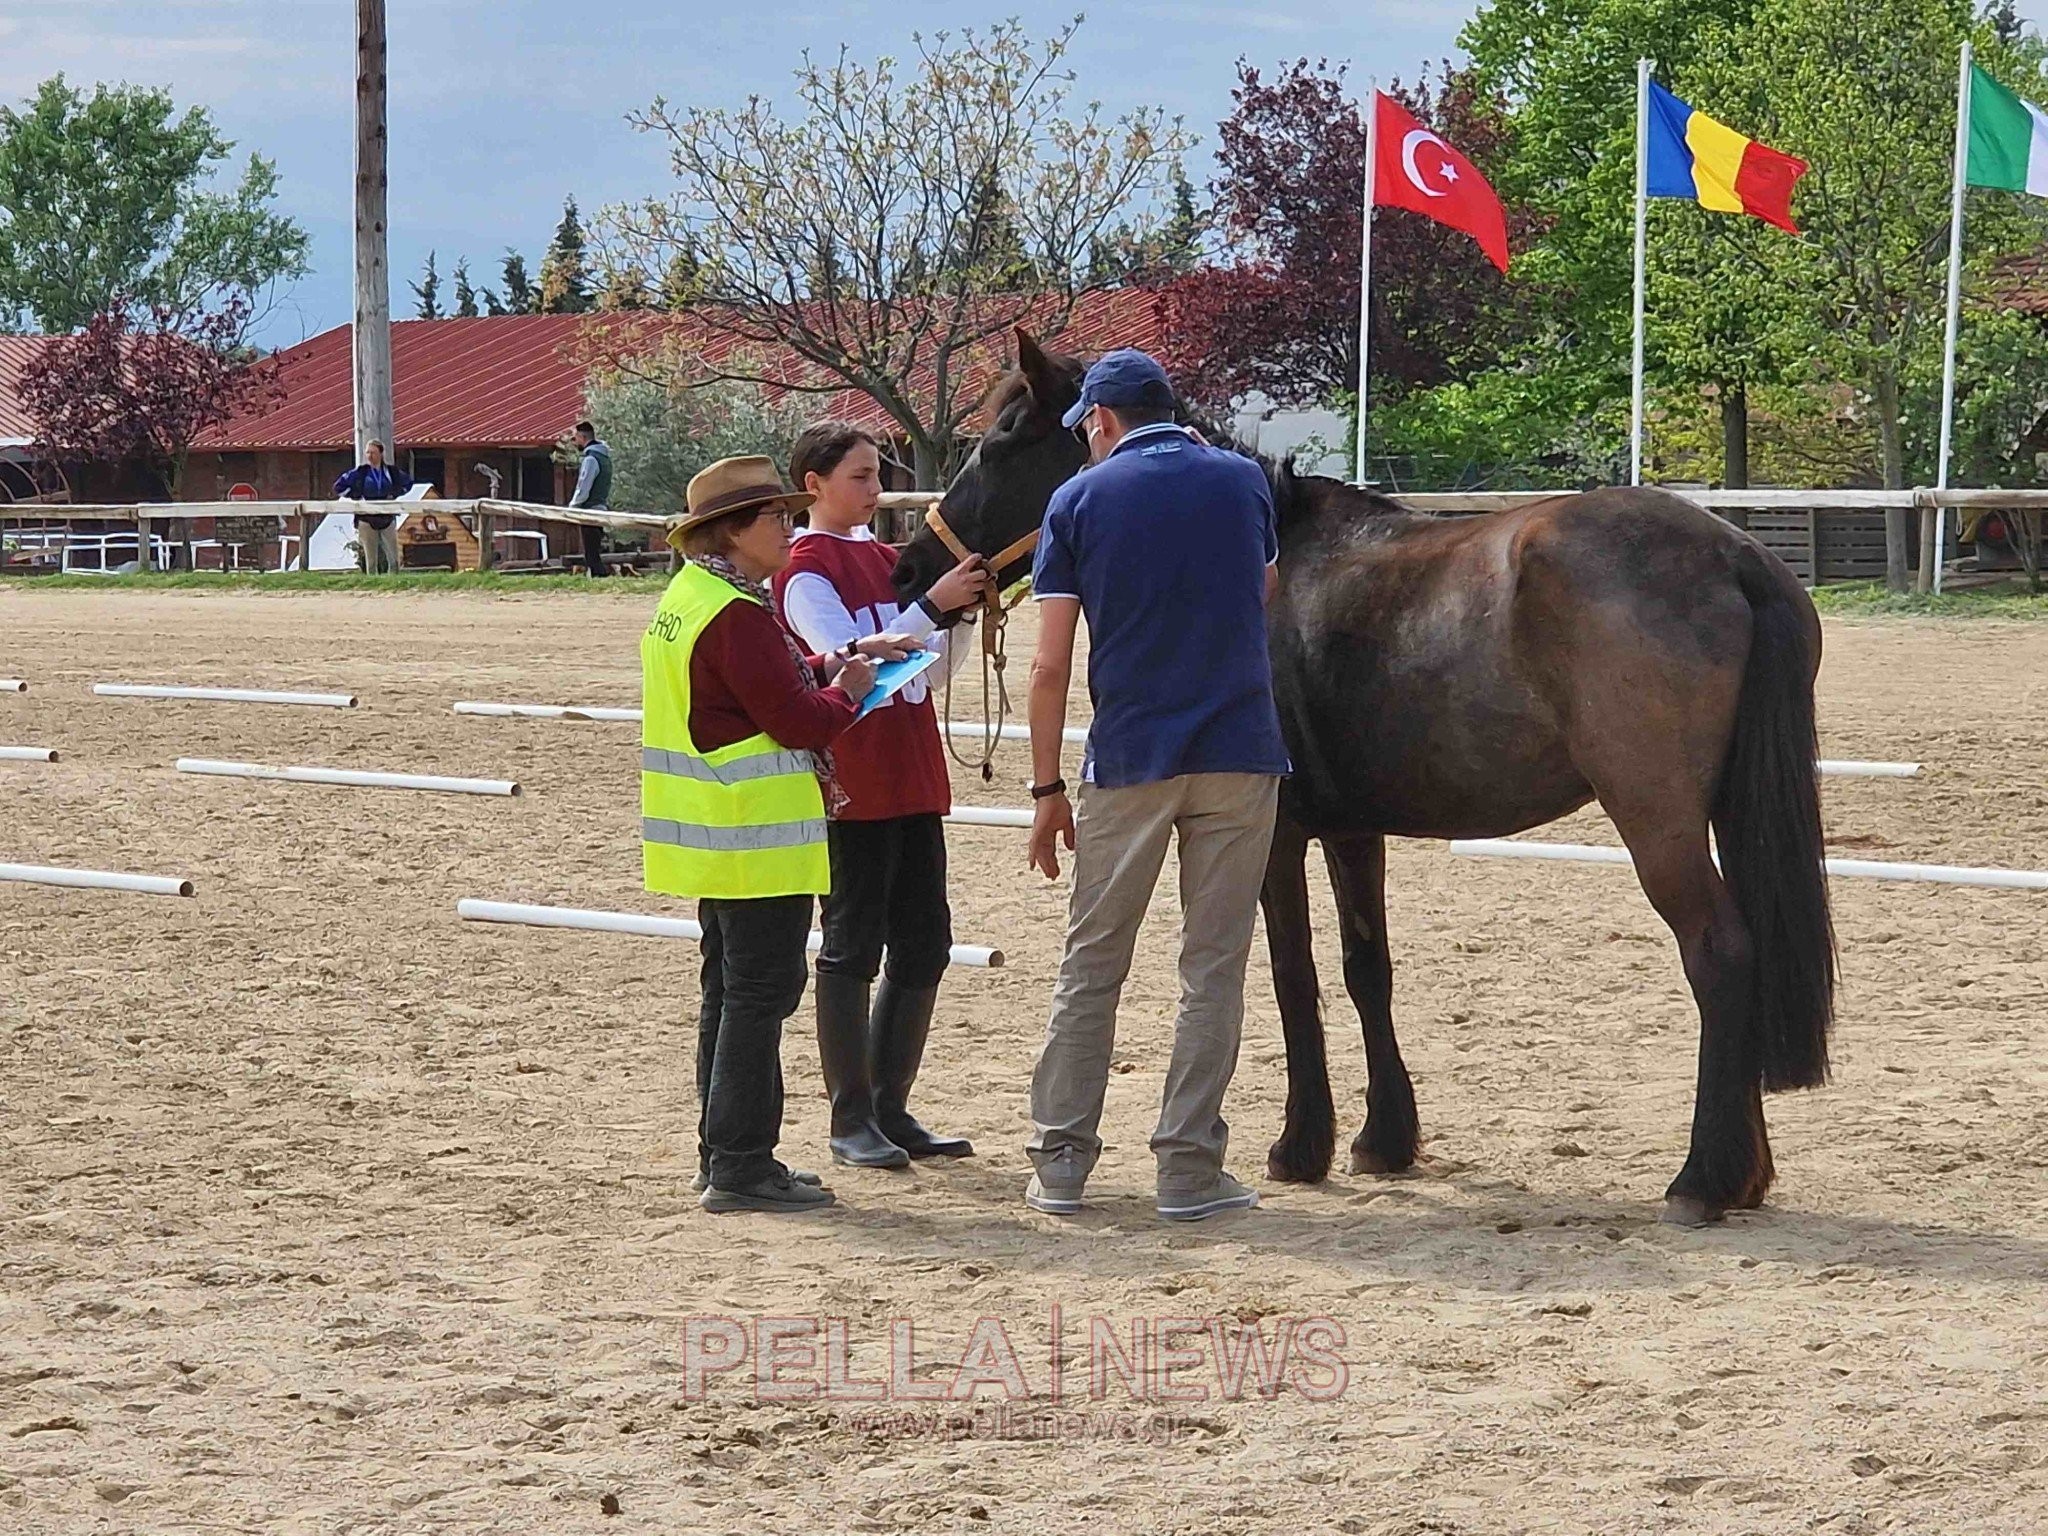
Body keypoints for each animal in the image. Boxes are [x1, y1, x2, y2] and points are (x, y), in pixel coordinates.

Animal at [897, 333, 1843, 1228]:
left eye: (1002, 439)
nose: (912, 570)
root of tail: (1729, 554)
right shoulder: (1354, 831)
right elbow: (1366, 969)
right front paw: (1384, 1139)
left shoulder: (1274, 833)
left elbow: (1291, 975)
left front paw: (1299, 1145)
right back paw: (1746, 1174)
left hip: (1659, 821)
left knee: (1719, 954)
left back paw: (1701, 1181)